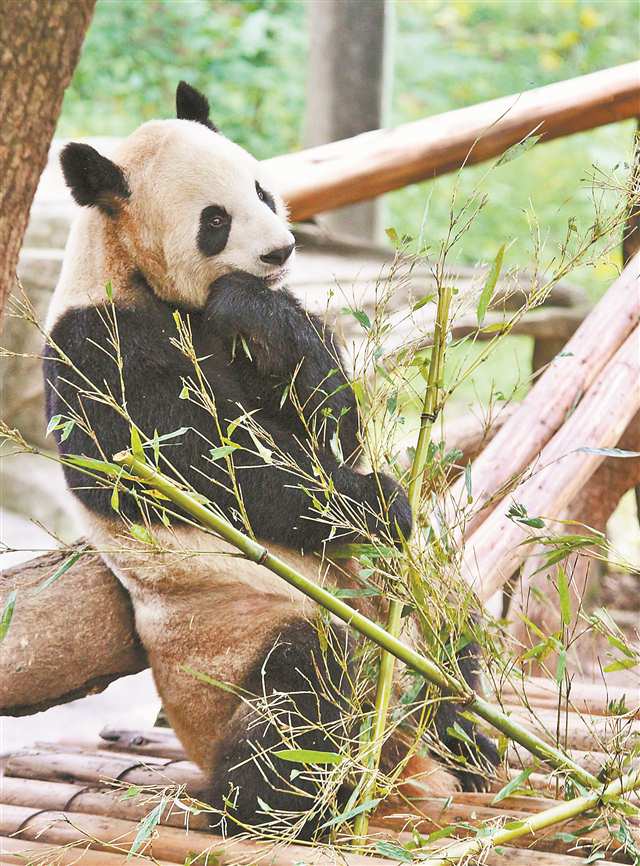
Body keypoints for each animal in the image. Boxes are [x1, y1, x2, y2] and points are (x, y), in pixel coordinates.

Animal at [42, 81, 498, 836]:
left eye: (262, 188)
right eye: (215, 220)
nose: (281, 251)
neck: (128, 268)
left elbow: (329, 418)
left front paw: (262, 312)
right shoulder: (95, 345)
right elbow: (192, 469)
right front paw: (378, 502)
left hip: (396, 615)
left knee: (447, 637)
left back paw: (470, 745)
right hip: (234, 645)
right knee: (297, 697)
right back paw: (297, 800)